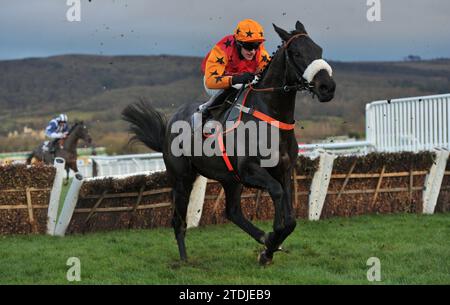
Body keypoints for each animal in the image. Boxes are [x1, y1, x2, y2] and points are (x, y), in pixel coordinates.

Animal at [122, 21, 334, 264]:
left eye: (319, 50)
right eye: (297, 53)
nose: (327, 87)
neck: (271, 116)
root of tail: (168, 126)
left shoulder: (283, 170)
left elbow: (290, 221)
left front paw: (268, 247)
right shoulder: (249, 170)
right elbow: (277, 193)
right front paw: (272, 240)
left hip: (229, 179)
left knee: (232, 212)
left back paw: (261, 238)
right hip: (182, 178)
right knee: (178, 220)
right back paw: (184, 259)